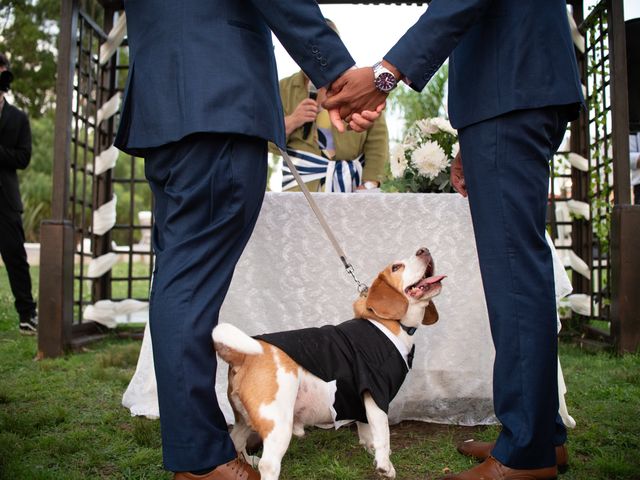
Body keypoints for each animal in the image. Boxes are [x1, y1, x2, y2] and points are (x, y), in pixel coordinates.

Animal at [212, 248, 442, 480]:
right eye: (396, 267)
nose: (424, 250)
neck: (389, 323)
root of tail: (244, 355)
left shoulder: (361, 400)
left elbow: (367, 431)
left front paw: (372, 451)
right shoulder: (376, 395)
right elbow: (383, 434)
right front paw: (385, 465)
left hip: (243, 419)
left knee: (236, 442)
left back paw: (247, 461)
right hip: (278, 423)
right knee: (268, 465)